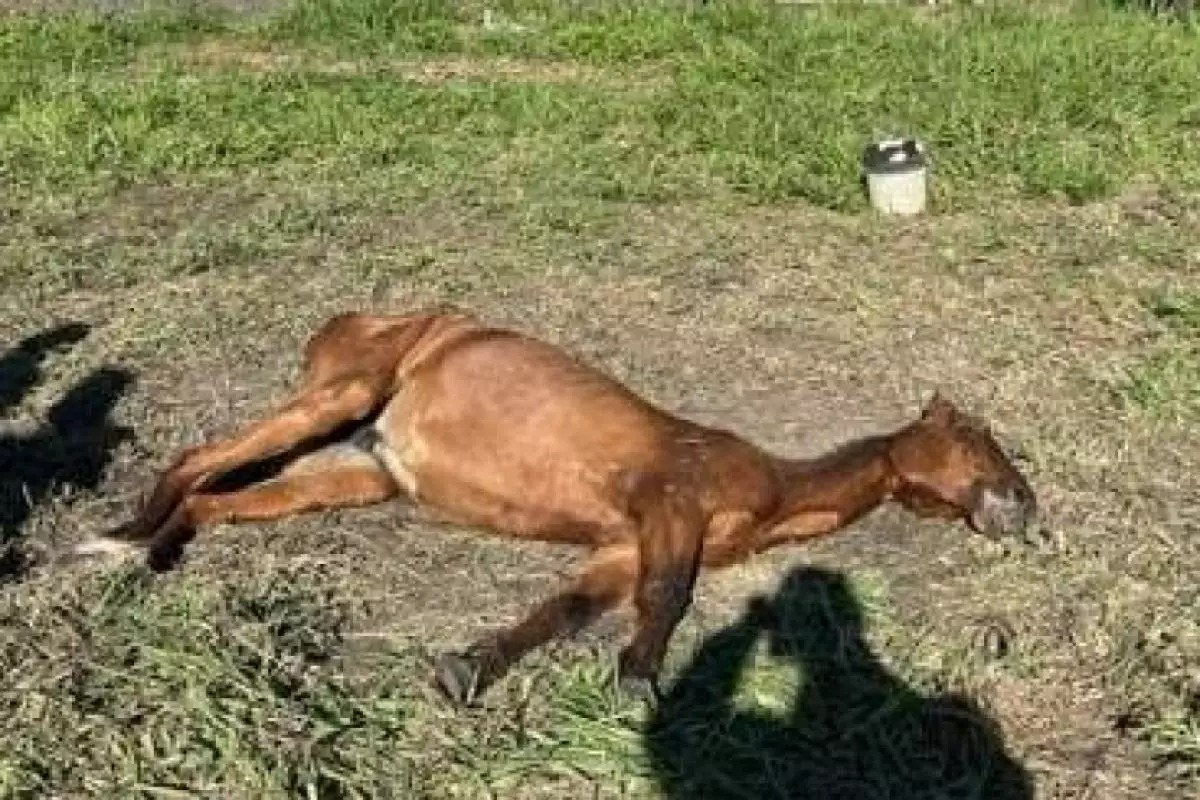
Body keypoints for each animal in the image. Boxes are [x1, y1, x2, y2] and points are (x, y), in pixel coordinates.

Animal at [77, 309, 1037, 706]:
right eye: (982, 437)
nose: (1028, 509)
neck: (770, 487)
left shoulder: (623, 546)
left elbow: (566, 608)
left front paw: (470, 667)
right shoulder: (666, 506)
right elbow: (669, 598)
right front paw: (640, 680)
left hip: (356, 469)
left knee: (218, 499)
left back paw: (145, 553)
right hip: (341, 393)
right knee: (198, 460)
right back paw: (118, 539)